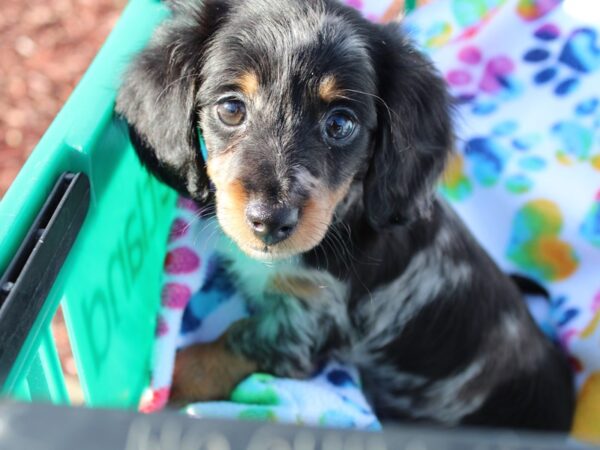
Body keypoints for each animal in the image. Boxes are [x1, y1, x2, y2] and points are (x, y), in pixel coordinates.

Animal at [113, 0, 576, 430]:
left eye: (340, 124)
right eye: (231, 108)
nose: (269, 222)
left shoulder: (306, 325)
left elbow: (226, 342)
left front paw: (164, 385)